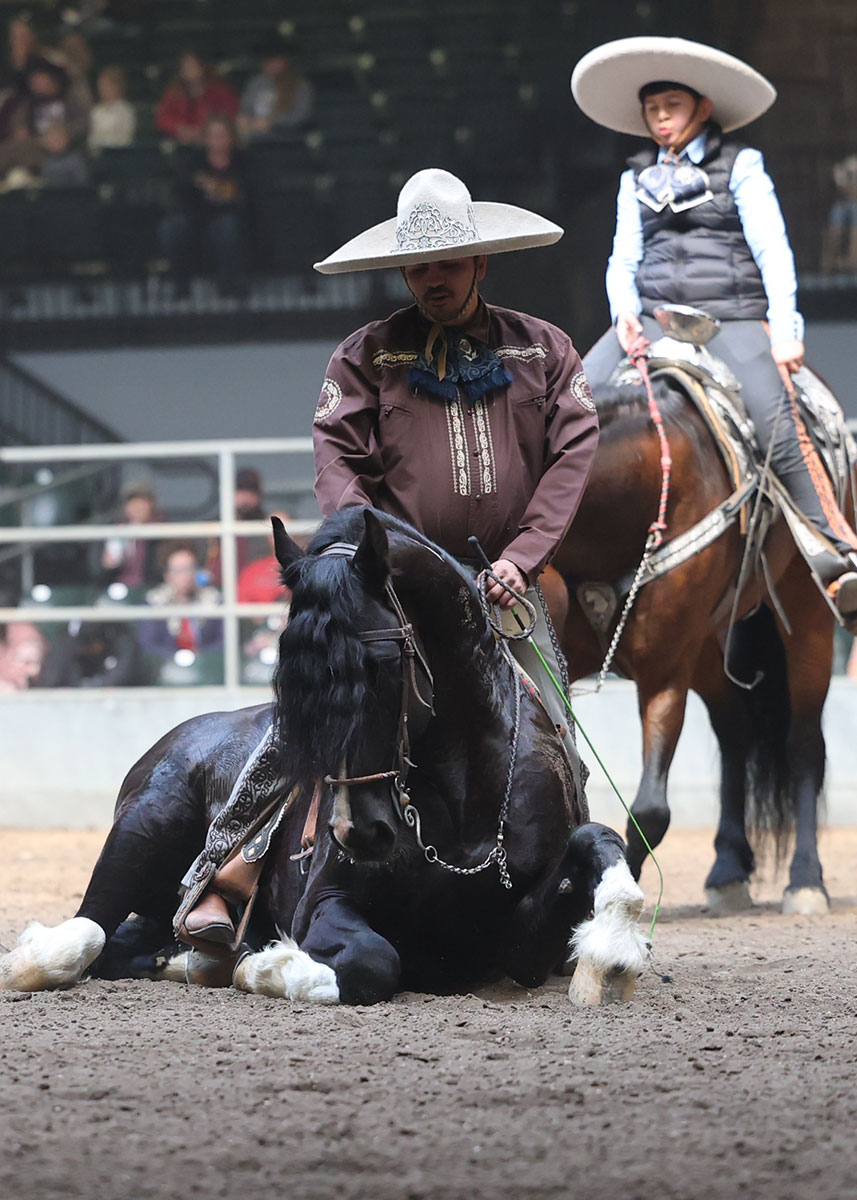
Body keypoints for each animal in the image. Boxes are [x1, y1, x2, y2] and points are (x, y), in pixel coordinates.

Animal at [1, 507, 648, 1006]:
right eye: (288, 678)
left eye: (383, 666)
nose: (358, 832)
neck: (463, 801)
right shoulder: (323, 902)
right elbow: (372, 961)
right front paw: (263, 966)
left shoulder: (511, 941)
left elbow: (595, 841)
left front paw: (614, 953)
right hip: (143, 827)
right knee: (86, 932)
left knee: (122, 945)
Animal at [550, 370, 850, 915]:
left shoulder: (666, 670)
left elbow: (650, 809)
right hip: (710, 648)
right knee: (735, 735)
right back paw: (728, 869)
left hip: (808, 621)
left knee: (803, 746)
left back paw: (805, 881)